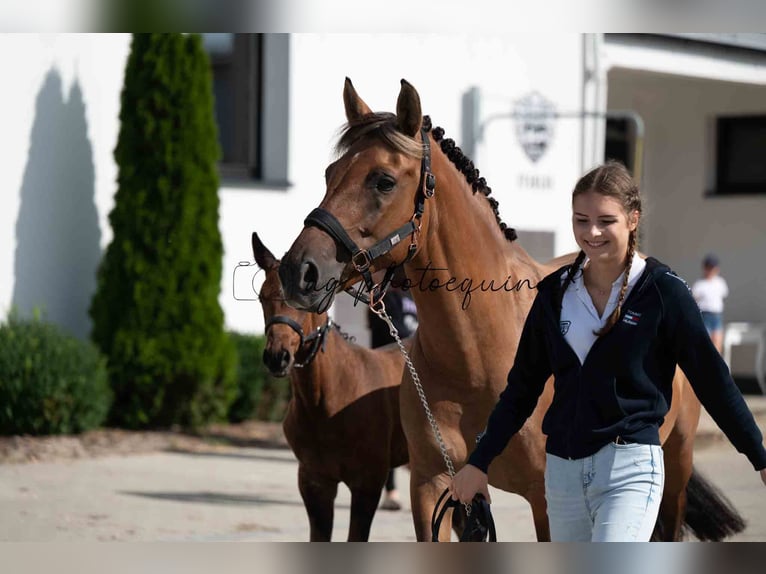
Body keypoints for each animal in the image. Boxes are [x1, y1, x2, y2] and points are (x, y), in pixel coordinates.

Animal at [278, 79, 744, 544]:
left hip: (676, 466)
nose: (298, 271)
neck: (476, 356)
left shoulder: (546, 499)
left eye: (384, 181)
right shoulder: (435, 487)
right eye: (329, 174)